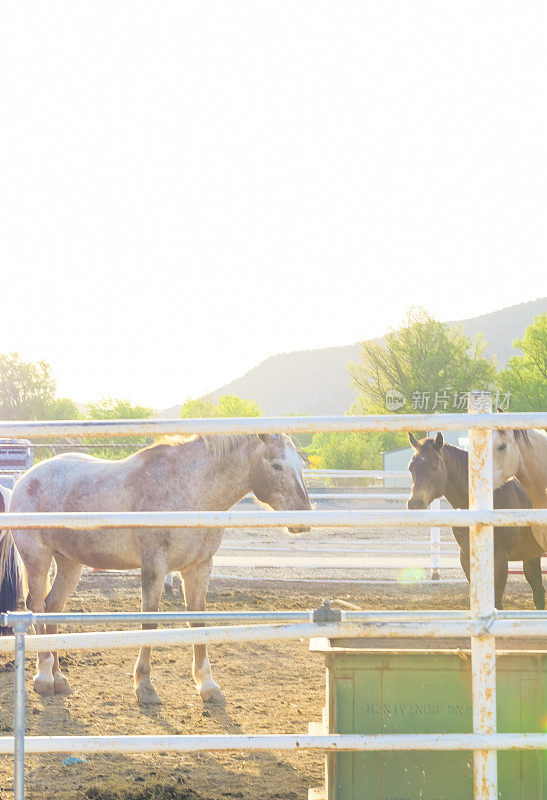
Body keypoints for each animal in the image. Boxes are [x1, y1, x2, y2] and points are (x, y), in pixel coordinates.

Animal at [0, 434, 310, 704]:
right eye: (277, 465)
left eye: (300, 465)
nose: (304, 517)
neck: (190, 489)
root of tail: (25, 480)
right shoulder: (154, 567)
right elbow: (149, 622)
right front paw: (145, 686)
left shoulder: (199, 568)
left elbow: (199, 623)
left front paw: (208, 685)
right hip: (38, 559)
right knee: (37, 606)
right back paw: (44, 676)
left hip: (70, 562)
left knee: (53, 606)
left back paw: (59, 677)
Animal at [406, 434, 544, 608]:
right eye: (411, 467)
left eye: (434, 466)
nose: (414, 503)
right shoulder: (466, 557)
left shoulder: (500, 558)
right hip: (531, 556)